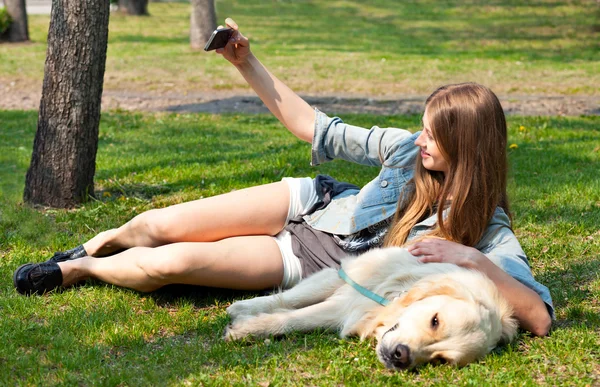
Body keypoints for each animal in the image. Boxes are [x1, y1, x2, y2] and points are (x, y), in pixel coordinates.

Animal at [225, 247, 516, 372]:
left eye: (440, 360)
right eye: (435, 321)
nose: (401, 357)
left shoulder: (344, 308)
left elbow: (297, 318)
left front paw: (246, 327)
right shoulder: (348, 277)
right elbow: (290, 304)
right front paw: (244, 317)